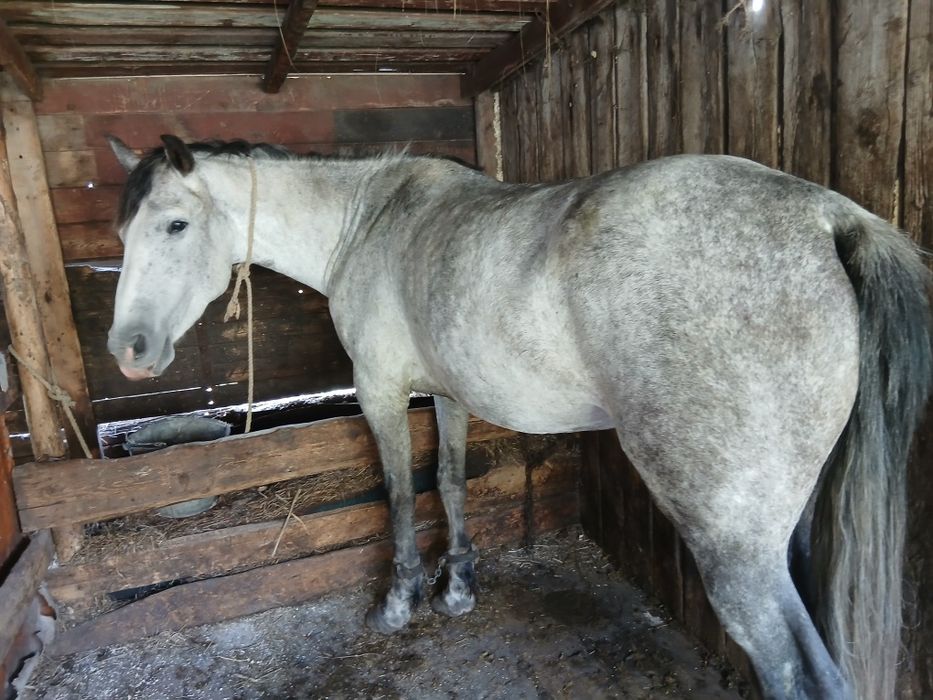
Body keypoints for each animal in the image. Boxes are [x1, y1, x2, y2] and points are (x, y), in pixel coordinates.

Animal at [104, 134, 930, 700]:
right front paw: (457, 587)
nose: (128, 349)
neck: (368, 222)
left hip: (736, 551)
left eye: (174, 225)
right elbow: (449, 483)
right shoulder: (445, 394)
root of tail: (827, 217)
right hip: (789, 531)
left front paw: (401, 600)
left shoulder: (379, 391)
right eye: (122, 234)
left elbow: (400, 495)